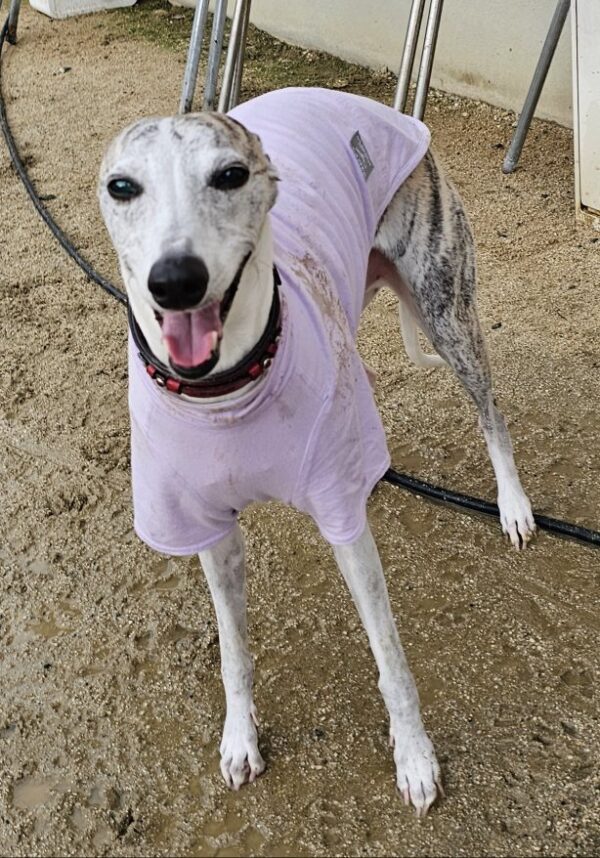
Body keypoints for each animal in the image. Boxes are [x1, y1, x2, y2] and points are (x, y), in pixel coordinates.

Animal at [99, 87, 535, 816]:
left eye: (229, 176)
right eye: (122, 187)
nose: (175, 280)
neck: (229, 388)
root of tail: (362, 102)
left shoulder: (340, 517)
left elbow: (389, 653)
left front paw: (414, 755)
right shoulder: (205, 529)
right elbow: (234, 651)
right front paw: (240, 738)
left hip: (447, 308)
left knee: (491, 411)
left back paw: (512, 504)